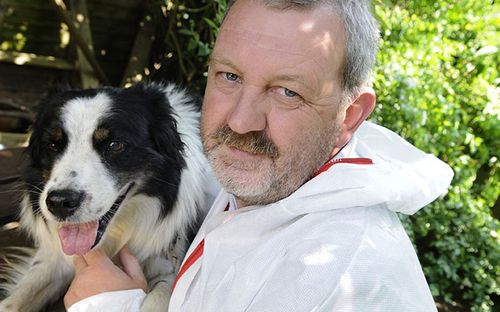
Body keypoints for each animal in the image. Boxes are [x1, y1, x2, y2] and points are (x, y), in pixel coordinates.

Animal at [0, 83, 213, 312]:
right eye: (52, 145)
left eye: (115, 145)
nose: (59, 203)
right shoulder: (53, 257)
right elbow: (15, 299)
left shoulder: (167, 264)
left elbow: (157, 298)